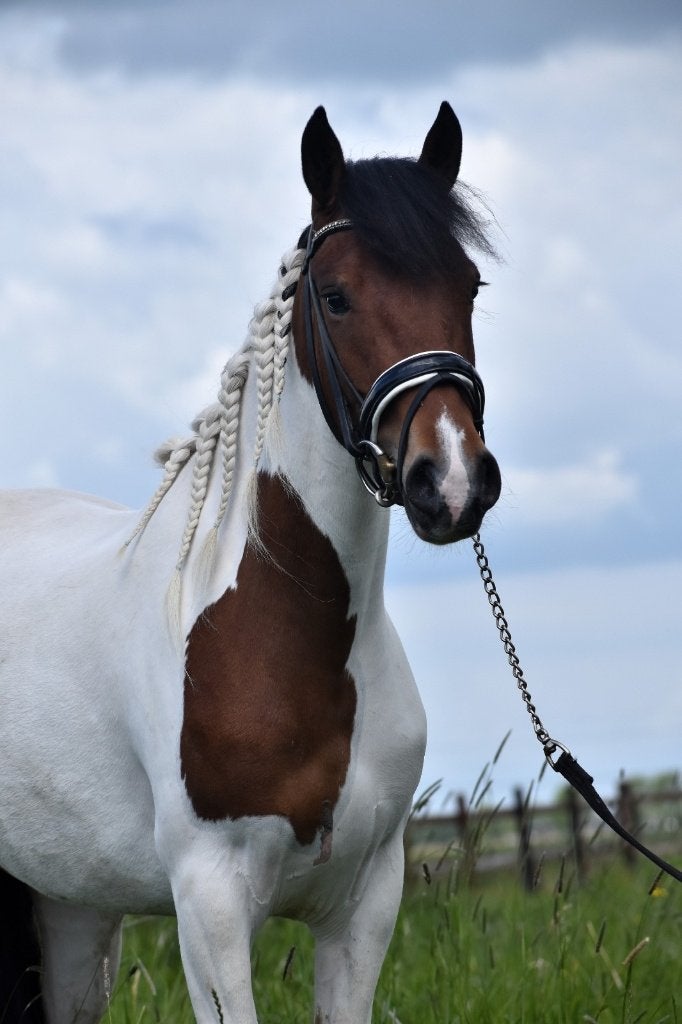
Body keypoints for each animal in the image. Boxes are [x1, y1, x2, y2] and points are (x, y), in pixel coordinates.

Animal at [0, 101, 501, 1024]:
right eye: (336, 297)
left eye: (470, 287)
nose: (450, 481)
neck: (278, 632)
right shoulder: (212, 907)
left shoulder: (363, 908)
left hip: (69, 902)